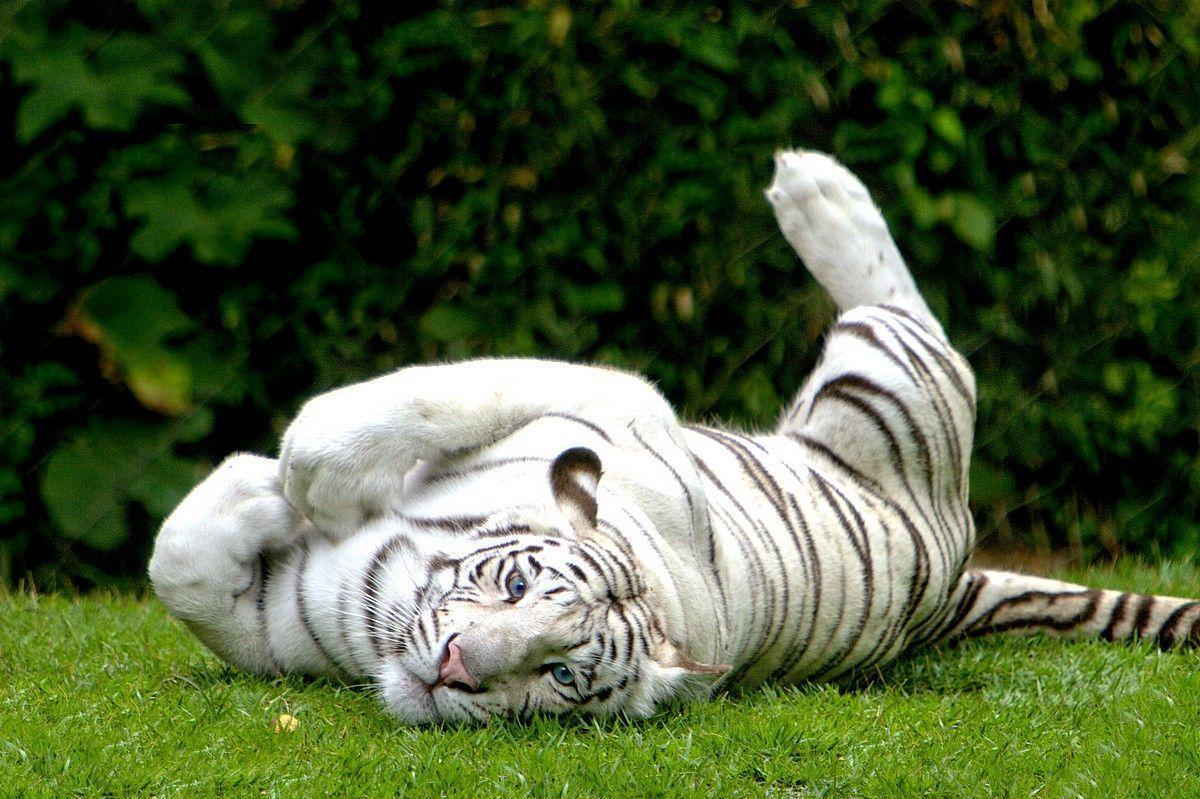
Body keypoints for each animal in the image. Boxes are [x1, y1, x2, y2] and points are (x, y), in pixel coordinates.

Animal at [149, 149, 1200, 724]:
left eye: (560, 674)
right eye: (516, 584)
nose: (456, 670)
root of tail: (957, 565)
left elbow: (183, 566)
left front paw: (285, 482)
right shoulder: (612, 400)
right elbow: (183, 564)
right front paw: (274, 484)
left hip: (889, 384)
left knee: (917, 320)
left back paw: (818, 191)